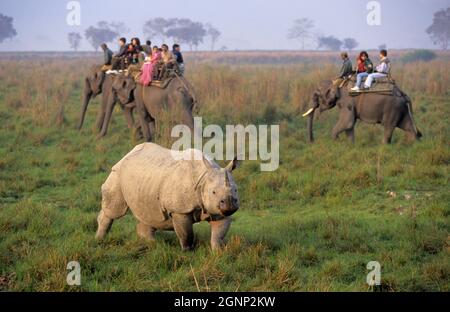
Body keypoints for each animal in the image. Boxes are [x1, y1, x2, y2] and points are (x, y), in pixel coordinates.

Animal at [96, 144, 241, 251]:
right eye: (214, 192)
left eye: (235, 190)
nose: (230, 204)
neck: (204, 178)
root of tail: (128, 153)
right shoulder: (180, 210)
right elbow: (186, 234)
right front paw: (188, 251)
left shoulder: (217, 209)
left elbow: (218, 234)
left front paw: (218, 251)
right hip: (117, 172)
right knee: (115, 210)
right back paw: (99, 239)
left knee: (151, 214)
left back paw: (154, 244)